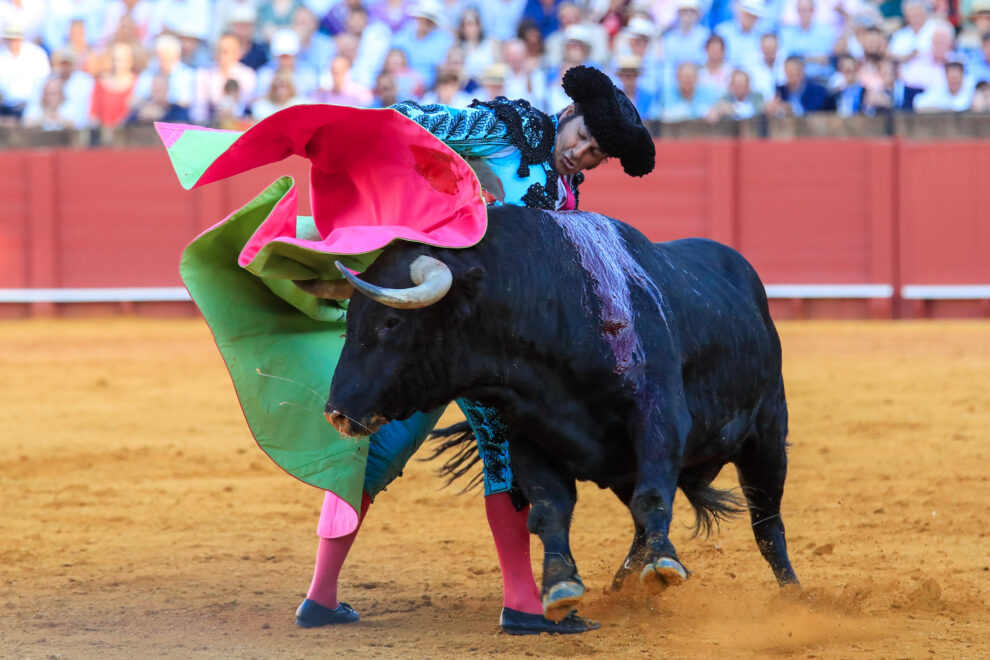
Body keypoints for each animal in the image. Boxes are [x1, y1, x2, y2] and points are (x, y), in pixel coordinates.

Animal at [322, 206, 804, 620]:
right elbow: (550, 508)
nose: (336, 413)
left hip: (766, 434)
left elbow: (653, 496)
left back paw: (793, 596)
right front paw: (559, 585)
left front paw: (665, 563)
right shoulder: (526, 433)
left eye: (391, 322)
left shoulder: (658, 416)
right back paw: (624, 585)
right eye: (350, 320)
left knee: (766, 522)